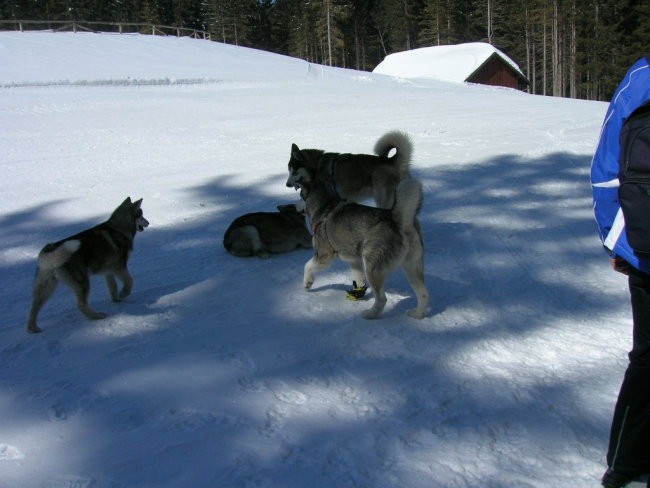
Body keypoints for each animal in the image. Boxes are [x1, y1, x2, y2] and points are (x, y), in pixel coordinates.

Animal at [25, 196, 148, 334]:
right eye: (141, 215)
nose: (148, 223)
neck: (119, 228)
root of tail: (49, 250)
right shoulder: (119, 267)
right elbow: (129, 282)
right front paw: (123, 294)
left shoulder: (108, 271)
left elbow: (113, 287)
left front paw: (116, 300)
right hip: (82, 282)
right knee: (81, 304)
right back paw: (97, 316)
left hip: (47, 286)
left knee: (34, 306)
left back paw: (32, 328)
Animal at [294, 176, 428, 320]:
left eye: (299, 196)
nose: (295, 207)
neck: (324, 206)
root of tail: (396, 218)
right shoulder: (355, 261)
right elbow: (358, 280)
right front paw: (357, 294)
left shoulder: (324, 256)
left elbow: (307, 266)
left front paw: (307, 283)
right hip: (411, 267)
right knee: (424, 294)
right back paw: (418, 314)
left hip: (372, 268)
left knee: (382, 299)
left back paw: (370, 314)